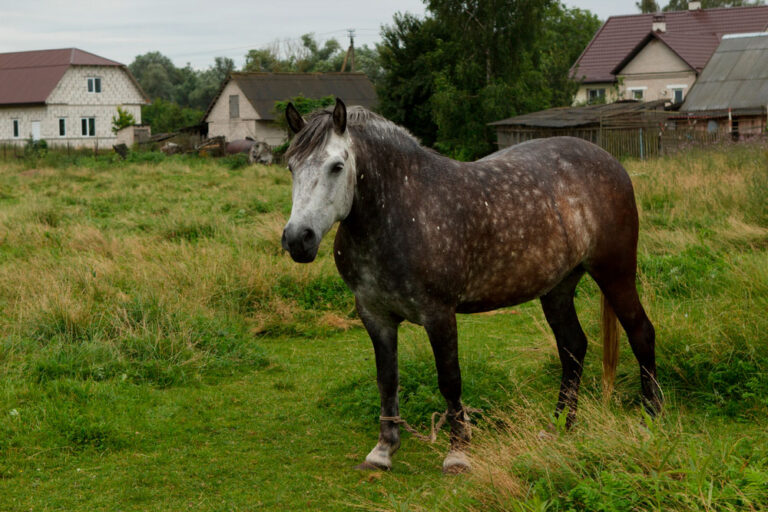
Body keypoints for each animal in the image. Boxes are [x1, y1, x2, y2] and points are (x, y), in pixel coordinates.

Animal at [281, 98, 662, 473]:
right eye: (291, 167)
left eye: (336, 166)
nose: (299, 239)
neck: (403, 209)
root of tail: (610, 162)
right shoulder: (375, 315)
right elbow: (387, 380)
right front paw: (383, 450)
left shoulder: (439, 314)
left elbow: (450, 380)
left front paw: (458, 453)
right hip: (558, 288)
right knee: (573, 347)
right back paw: (560, 427)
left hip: (615, 273)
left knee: (640, 333)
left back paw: (650, 421)